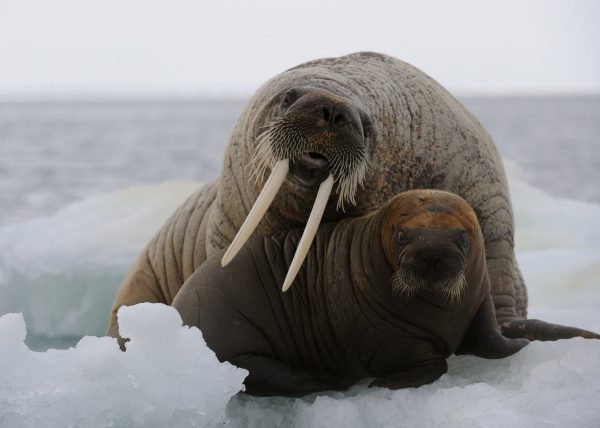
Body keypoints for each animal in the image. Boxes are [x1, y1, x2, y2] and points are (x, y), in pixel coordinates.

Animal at [173, 191, 528, 398]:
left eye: (463, 237)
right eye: (402, 236)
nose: (431, 254)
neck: (443, 308)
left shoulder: (480, 298)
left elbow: (492, 339)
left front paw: (523, 342)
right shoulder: (389, 339)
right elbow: (434, 364)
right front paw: (384, 382)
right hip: (228, 337)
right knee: (261, 373)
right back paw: (328, 379)